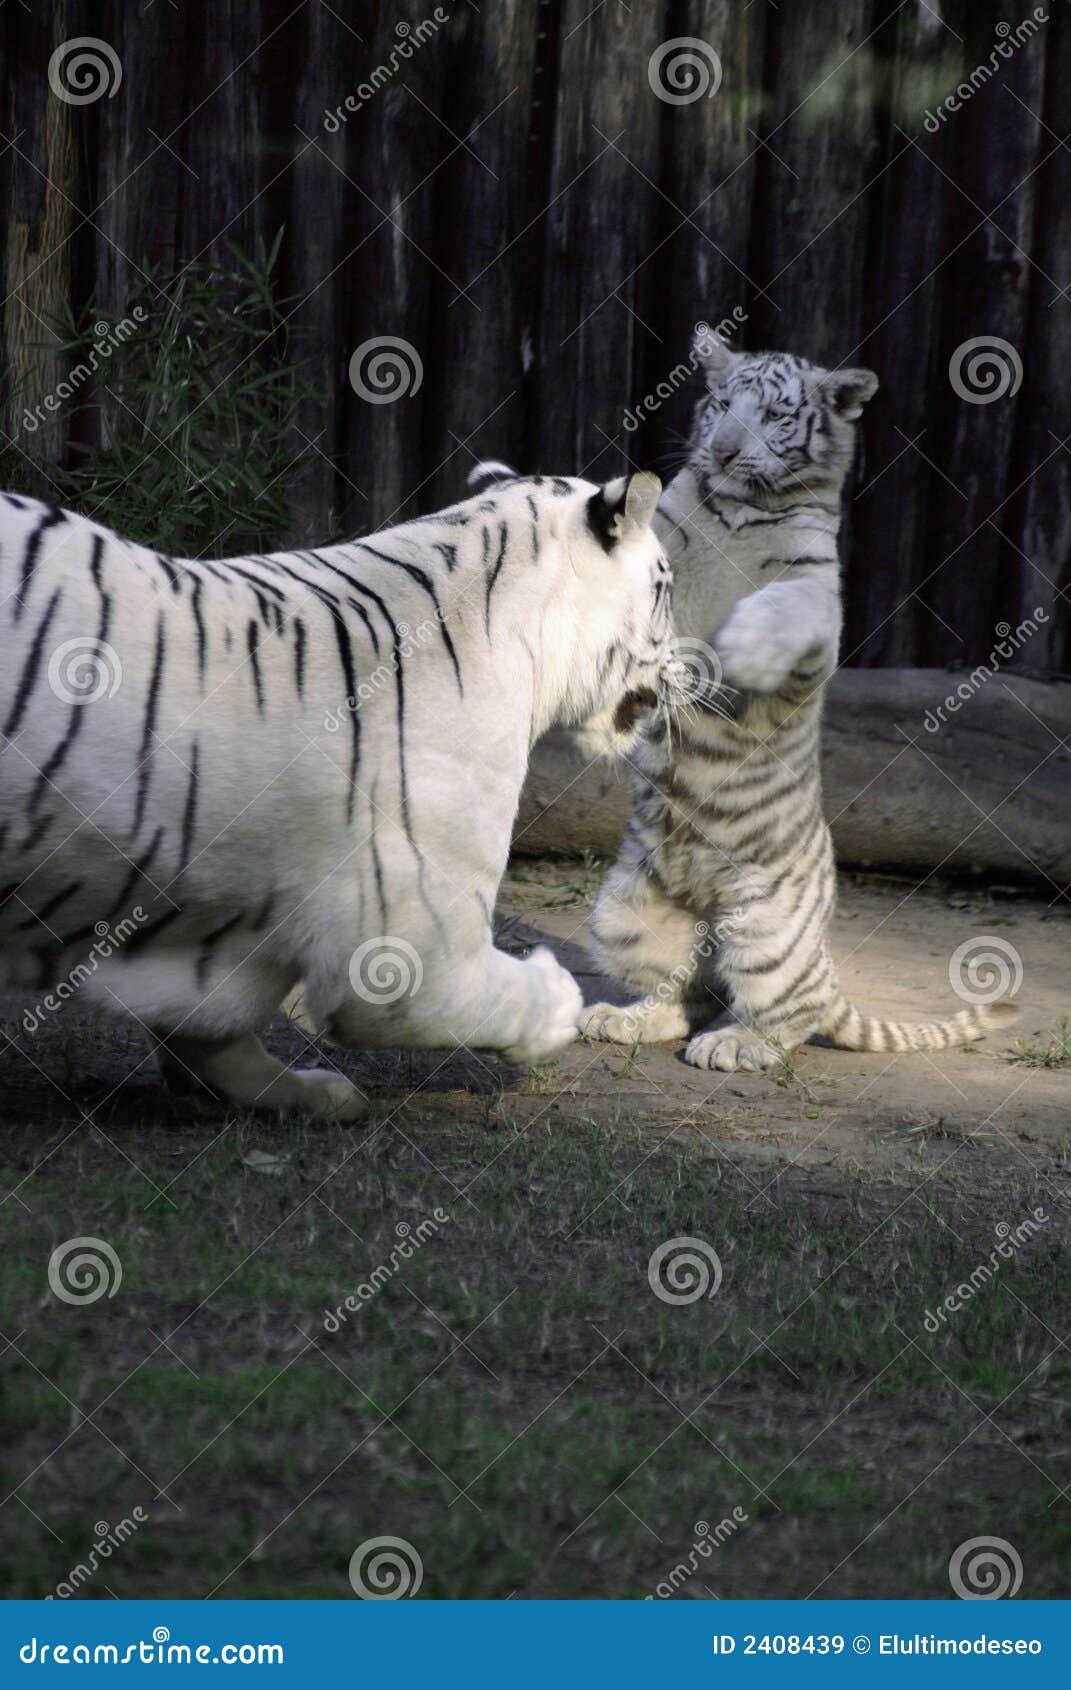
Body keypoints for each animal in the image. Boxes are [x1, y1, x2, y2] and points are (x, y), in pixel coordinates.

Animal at [0, 469, 668, 1115]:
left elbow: (212, 1037)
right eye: (665, 587)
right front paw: (559, 996)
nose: (689, 664)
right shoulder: (413, 955)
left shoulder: (203, 938)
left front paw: (312, 1095)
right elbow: (506, 998)